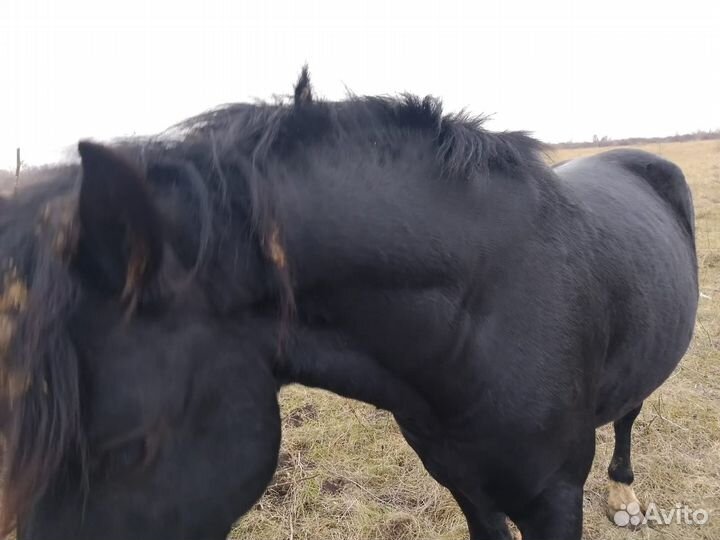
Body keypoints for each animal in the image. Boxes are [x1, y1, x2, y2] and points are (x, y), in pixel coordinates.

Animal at [0, 68, 698, 540]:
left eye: (128, 448)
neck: (484, 319)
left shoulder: (554, 500)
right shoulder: (467, 486)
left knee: (631, 411)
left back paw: (624, 488)